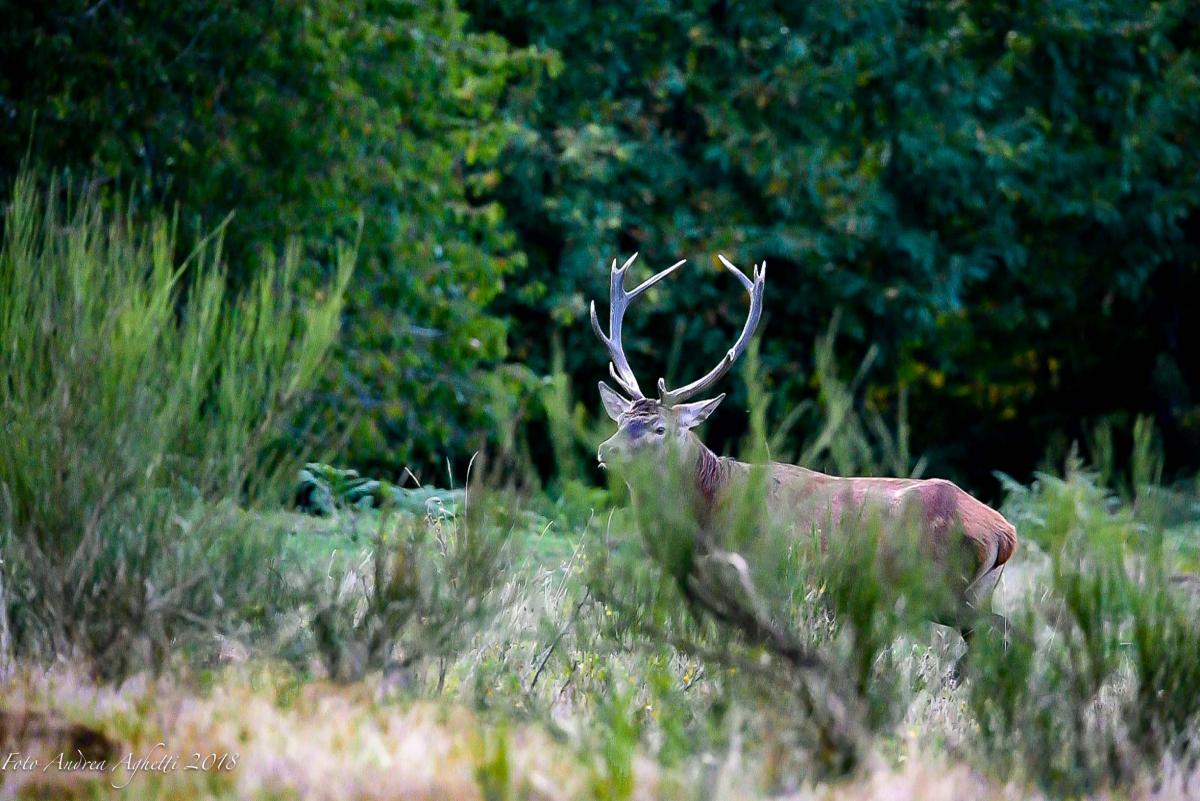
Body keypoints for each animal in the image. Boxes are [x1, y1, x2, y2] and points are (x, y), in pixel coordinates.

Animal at [590, 253, 1019, 665]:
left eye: (660, 428)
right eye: (621, 419)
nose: (606, 449)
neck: (710, 512)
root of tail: (1005, 533)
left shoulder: (773, 578)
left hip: (937, 586)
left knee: (1000, 631)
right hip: (973, 590)